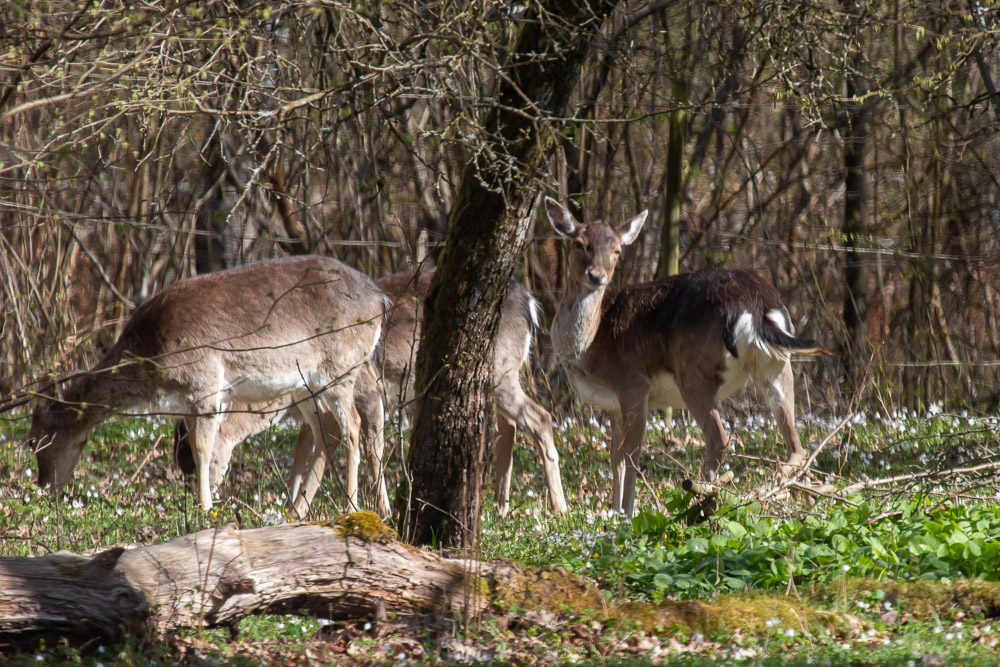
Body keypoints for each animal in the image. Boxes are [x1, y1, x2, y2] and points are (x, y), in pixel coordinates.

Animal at [26, 258, 386, 512]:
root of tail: (381, 300)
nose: (45, 486)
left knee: (353, 425)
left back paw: (351, 506)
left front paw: (204, 508)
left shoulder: (205, 383)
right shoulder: (190, 400)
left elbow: (203, 448)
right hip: (305, 385)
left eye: (35, 441)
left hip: (340, 367)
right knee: (328, 431)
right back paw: (299, 510)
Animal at [175, 270, 568, 516]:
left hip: (501, 370)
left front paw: (380, 509)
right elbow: (305, 452)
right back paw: (501, 507)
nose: (197, 498)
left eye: (197, 459)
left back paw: (559, 508)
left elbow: (369, 448)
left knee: (540, 417)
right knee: (510, 427)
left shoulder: (367, 390)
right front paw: (293, 509)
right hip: (500, 375)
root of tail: (531, 302)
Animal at [544, 197, 832, 516]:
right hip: (776, 365)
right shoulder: (613, 404)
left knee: (719, 439)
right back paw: (802, 498)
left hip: (694, 372)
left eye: (617, 250)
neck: (590, 347)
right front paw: (614, 510)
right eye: (580, 244)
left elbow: (630, 454)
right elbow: (614, 457)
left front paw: (626, 513)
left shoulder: (633, 383)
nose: (596, 276)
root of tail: (757, 306)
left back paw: (706, 496)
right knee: (796, 445)